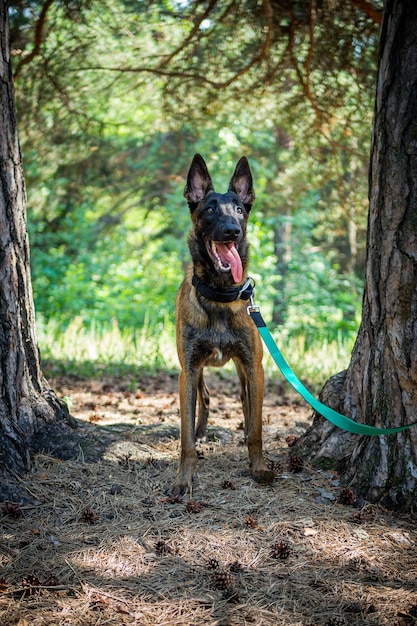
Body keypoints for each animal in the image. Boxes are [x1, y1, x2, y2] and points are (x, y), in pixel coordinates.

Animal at [171, 152, 274, 492]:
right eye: (210, 209)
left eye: (240, 210)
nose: (232, 231)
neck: (219, 295)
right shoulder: (188, 369)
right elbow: (186, 438)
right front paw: (183, 478)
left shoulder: (255, 367)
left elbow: (256, 428)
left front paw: (258, 467)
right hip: (195, 370)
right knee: (204, 397)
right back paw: (201, 429)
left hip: (244, 370)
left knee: (244, 401)